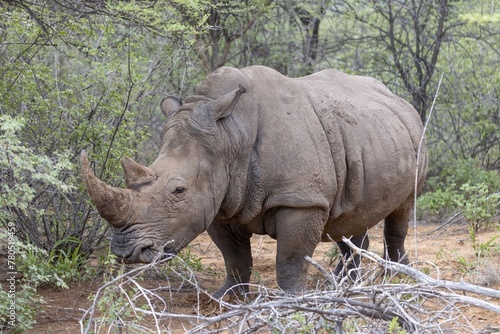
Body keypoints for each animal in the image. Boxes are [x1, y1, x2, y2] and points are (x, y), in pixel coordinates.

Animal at [81, 65, 426, 298]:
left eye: (178, 190)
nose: (127, 252)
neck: (231, 135)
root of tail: (399, 100)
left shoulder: (301, 199)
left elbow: (290, 257)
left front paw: (292, 300)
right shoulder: (217, 201)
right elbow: (233, 256)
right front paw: (226, 297)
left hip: (413, 135)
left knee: (402, 208)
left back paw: (397, 277)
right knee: (351, 217)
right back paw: (343, 283)